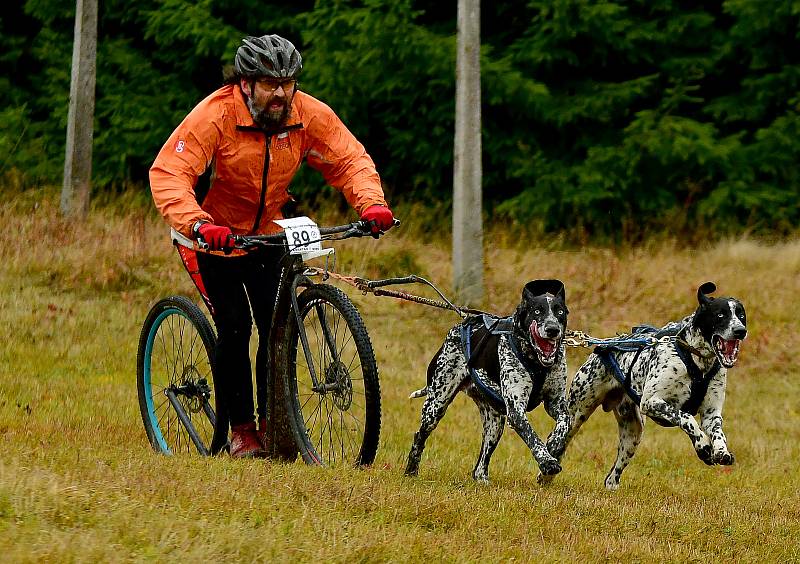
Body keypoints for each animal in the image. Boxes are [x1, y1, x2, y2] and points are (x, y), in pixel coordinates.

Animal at [404, 280, 572, 482]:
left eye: (559, 311)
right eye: (537, 311)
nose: (552, 329)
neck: (536, 362)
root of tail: (459, 327)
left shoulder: (555, 404)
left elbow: (565, 422)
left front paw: (554, 443)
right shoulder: (516, 411)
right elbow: (533, 438)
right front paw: (547, 461)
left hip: (494, 423)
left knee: (480, 464)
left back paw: (482, 479)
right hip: (436, 406)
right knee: (419, 437)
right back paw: (411, 470)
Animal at [552, 282, 748, 490]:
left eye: (741, 315)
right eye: (720, 315)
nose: (740, 330)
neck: (697, 361)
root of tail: (606, 344)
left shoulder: (712, 414)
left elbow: (718, 432)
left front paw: (720, 451)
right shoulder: (653, 402)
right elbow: (686, 418)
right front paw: (703, 445)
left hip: (633, 435)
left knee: (612, 476)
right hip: (575, 416)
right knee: (556, 445)